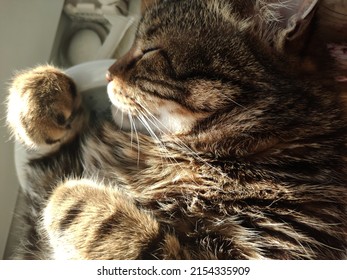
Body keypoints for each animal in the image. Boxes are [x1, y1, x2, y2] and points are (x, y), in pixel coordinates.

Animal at [5, 0, 347, 260]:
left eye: (150, 51)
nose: (107, 73)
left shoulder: (274, 251)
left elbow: (146, 243)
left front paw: (74, 201)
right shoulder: (53, 172)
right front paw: (43, 96)